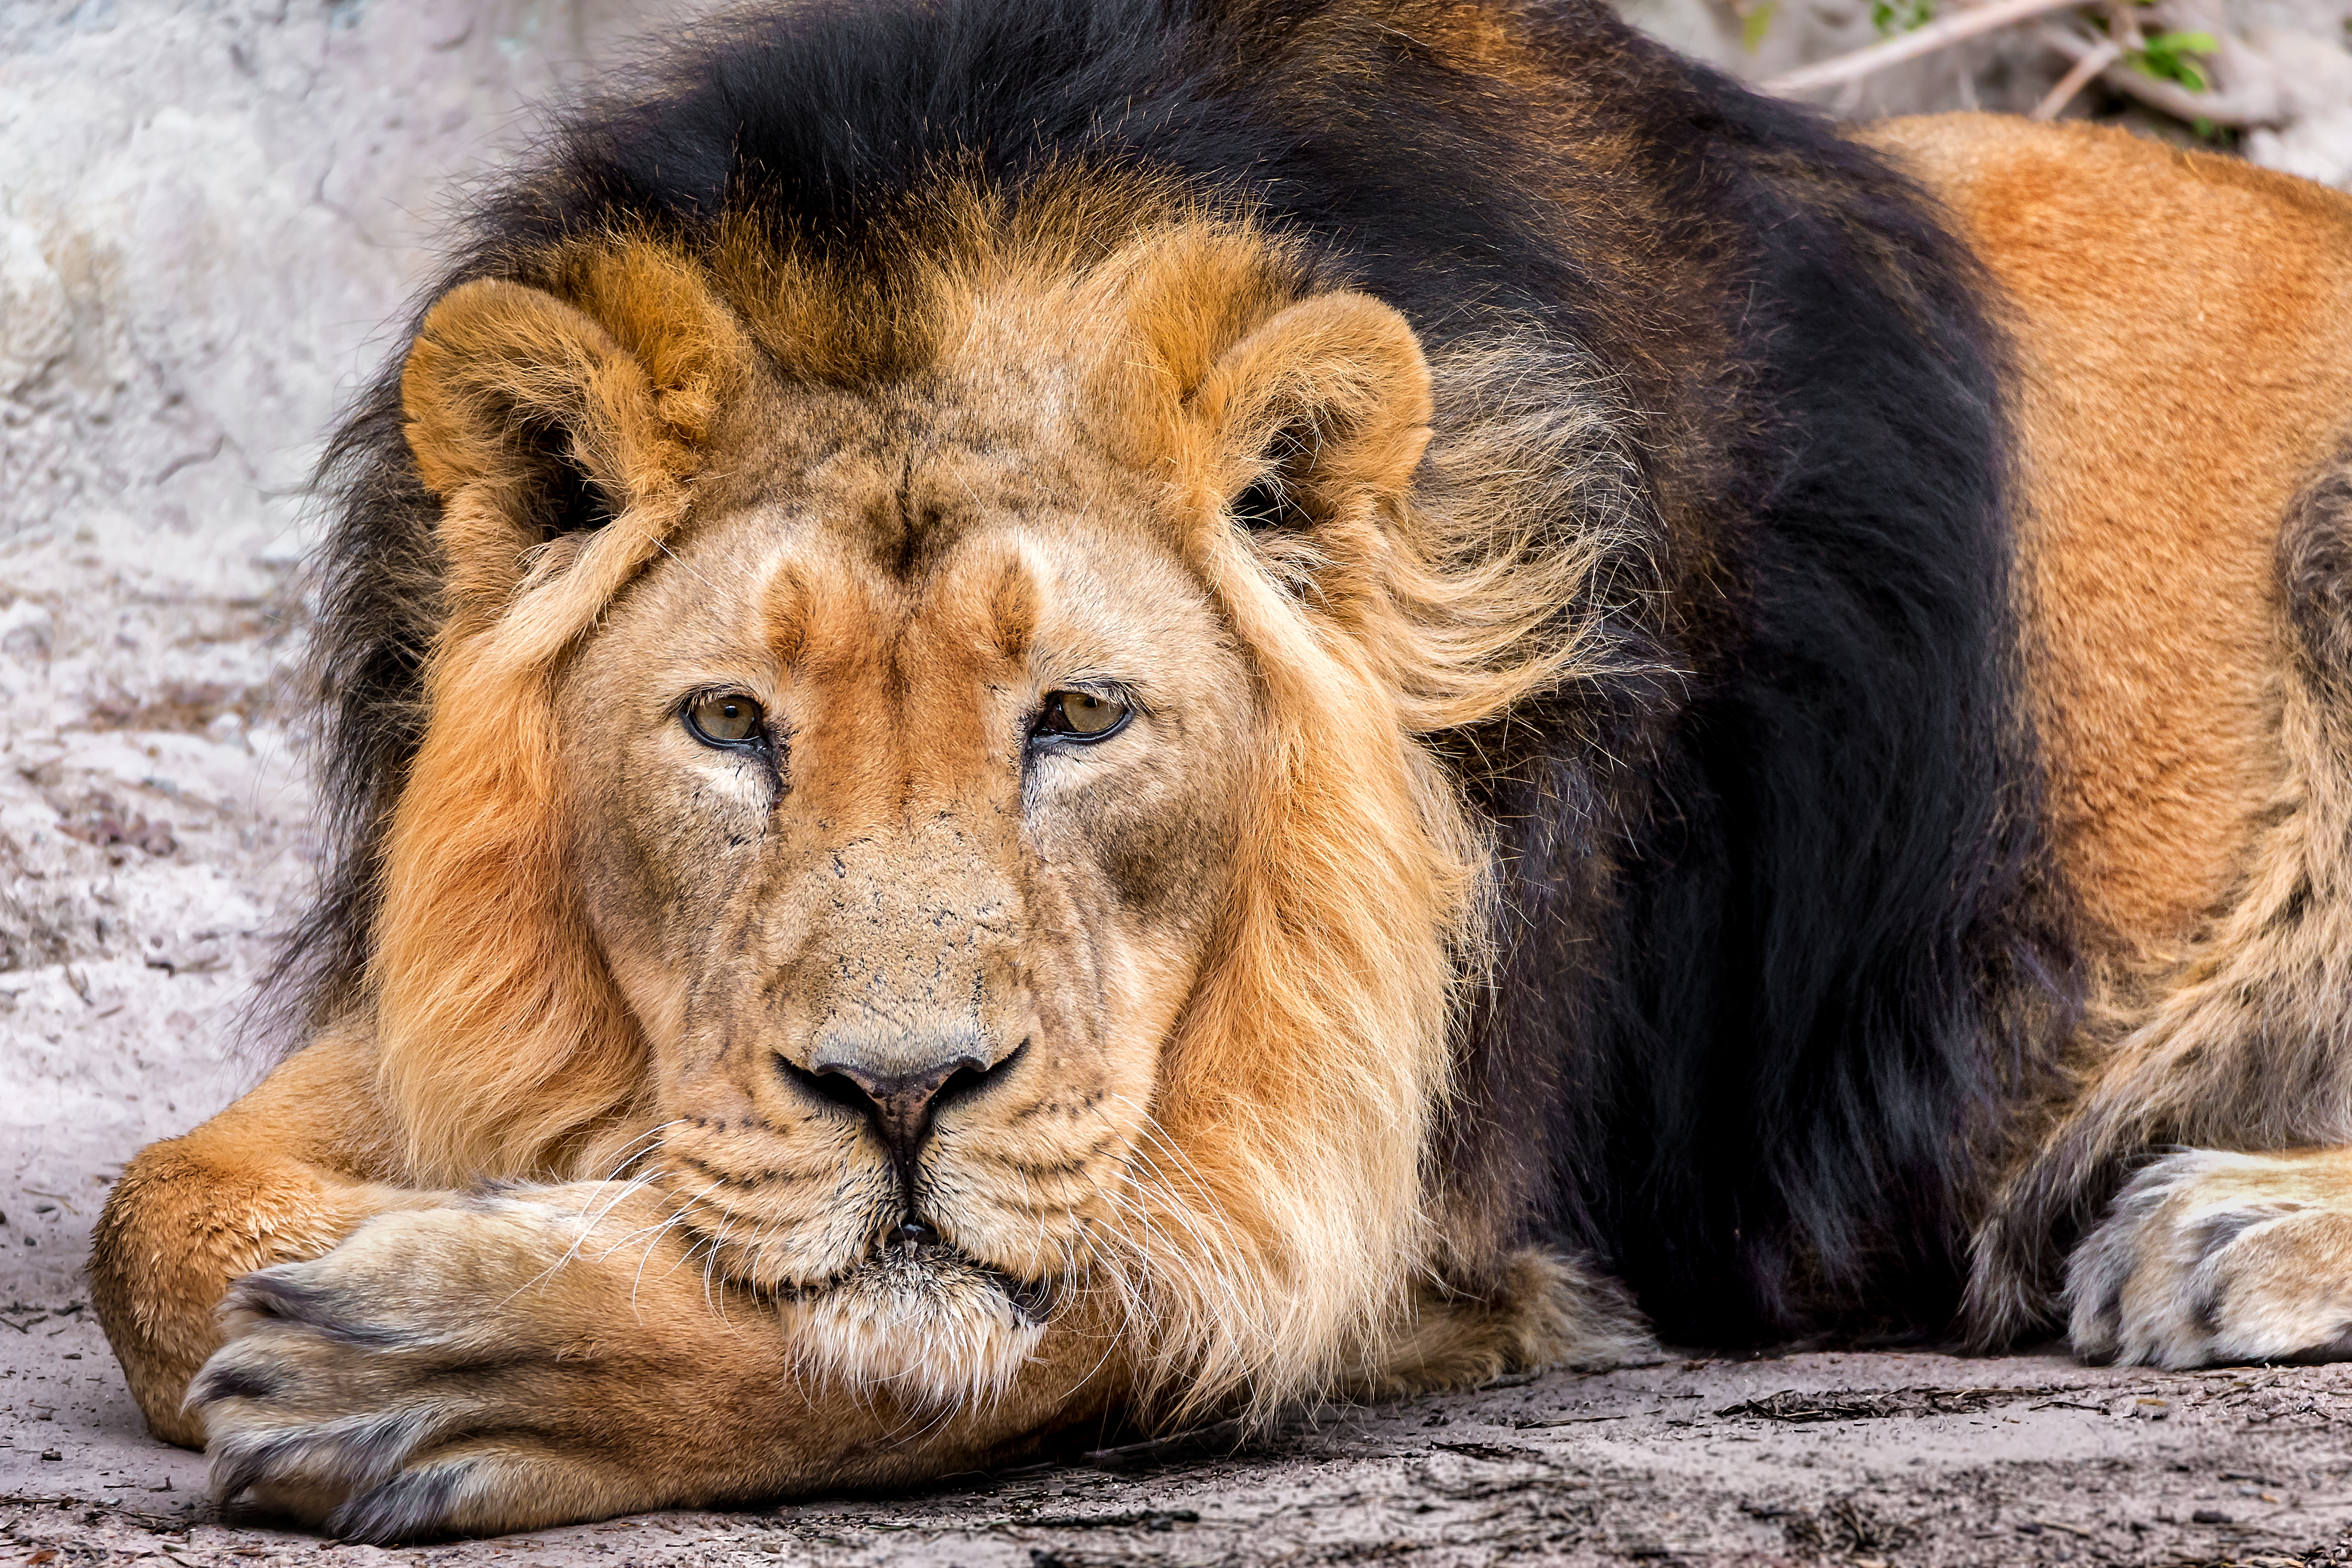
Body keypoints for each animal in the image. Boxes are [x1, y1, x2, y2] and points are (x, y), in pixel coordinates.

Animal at [87, 0, 2352, 1542]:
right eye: (730, 724)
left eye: (1082, 716)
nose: (899, 1093)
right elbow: (144, 1224)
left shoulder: (1408, 1175)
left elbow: (1046, 1315)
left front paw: (452, 1372)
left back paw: (2226, 1228)